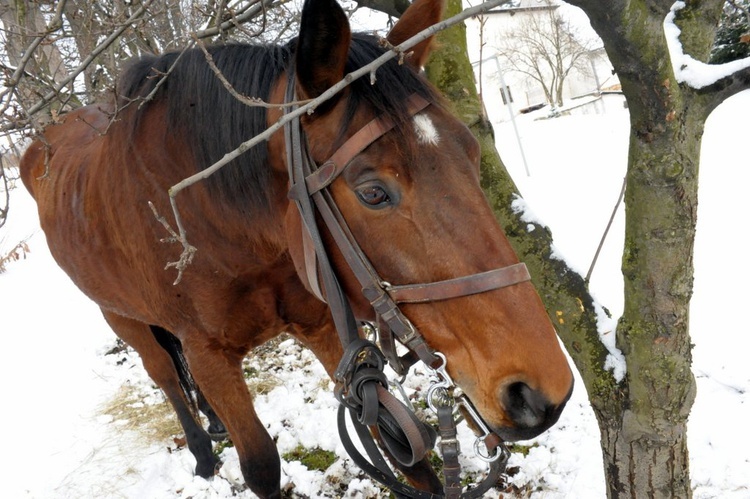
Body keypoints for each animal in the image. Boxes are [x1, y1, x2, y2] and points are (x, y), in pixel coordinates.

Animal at [22, 0, 576, 498]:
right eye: (373, 192)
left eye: (472, 151)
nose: (541, 392)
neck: (221, 225)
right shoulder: (208, 354)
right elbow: (261, 466)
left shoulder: (323, 324)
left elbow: (395, 442)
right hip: (122, 317)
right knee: (164, 375)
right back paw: (202, 453)